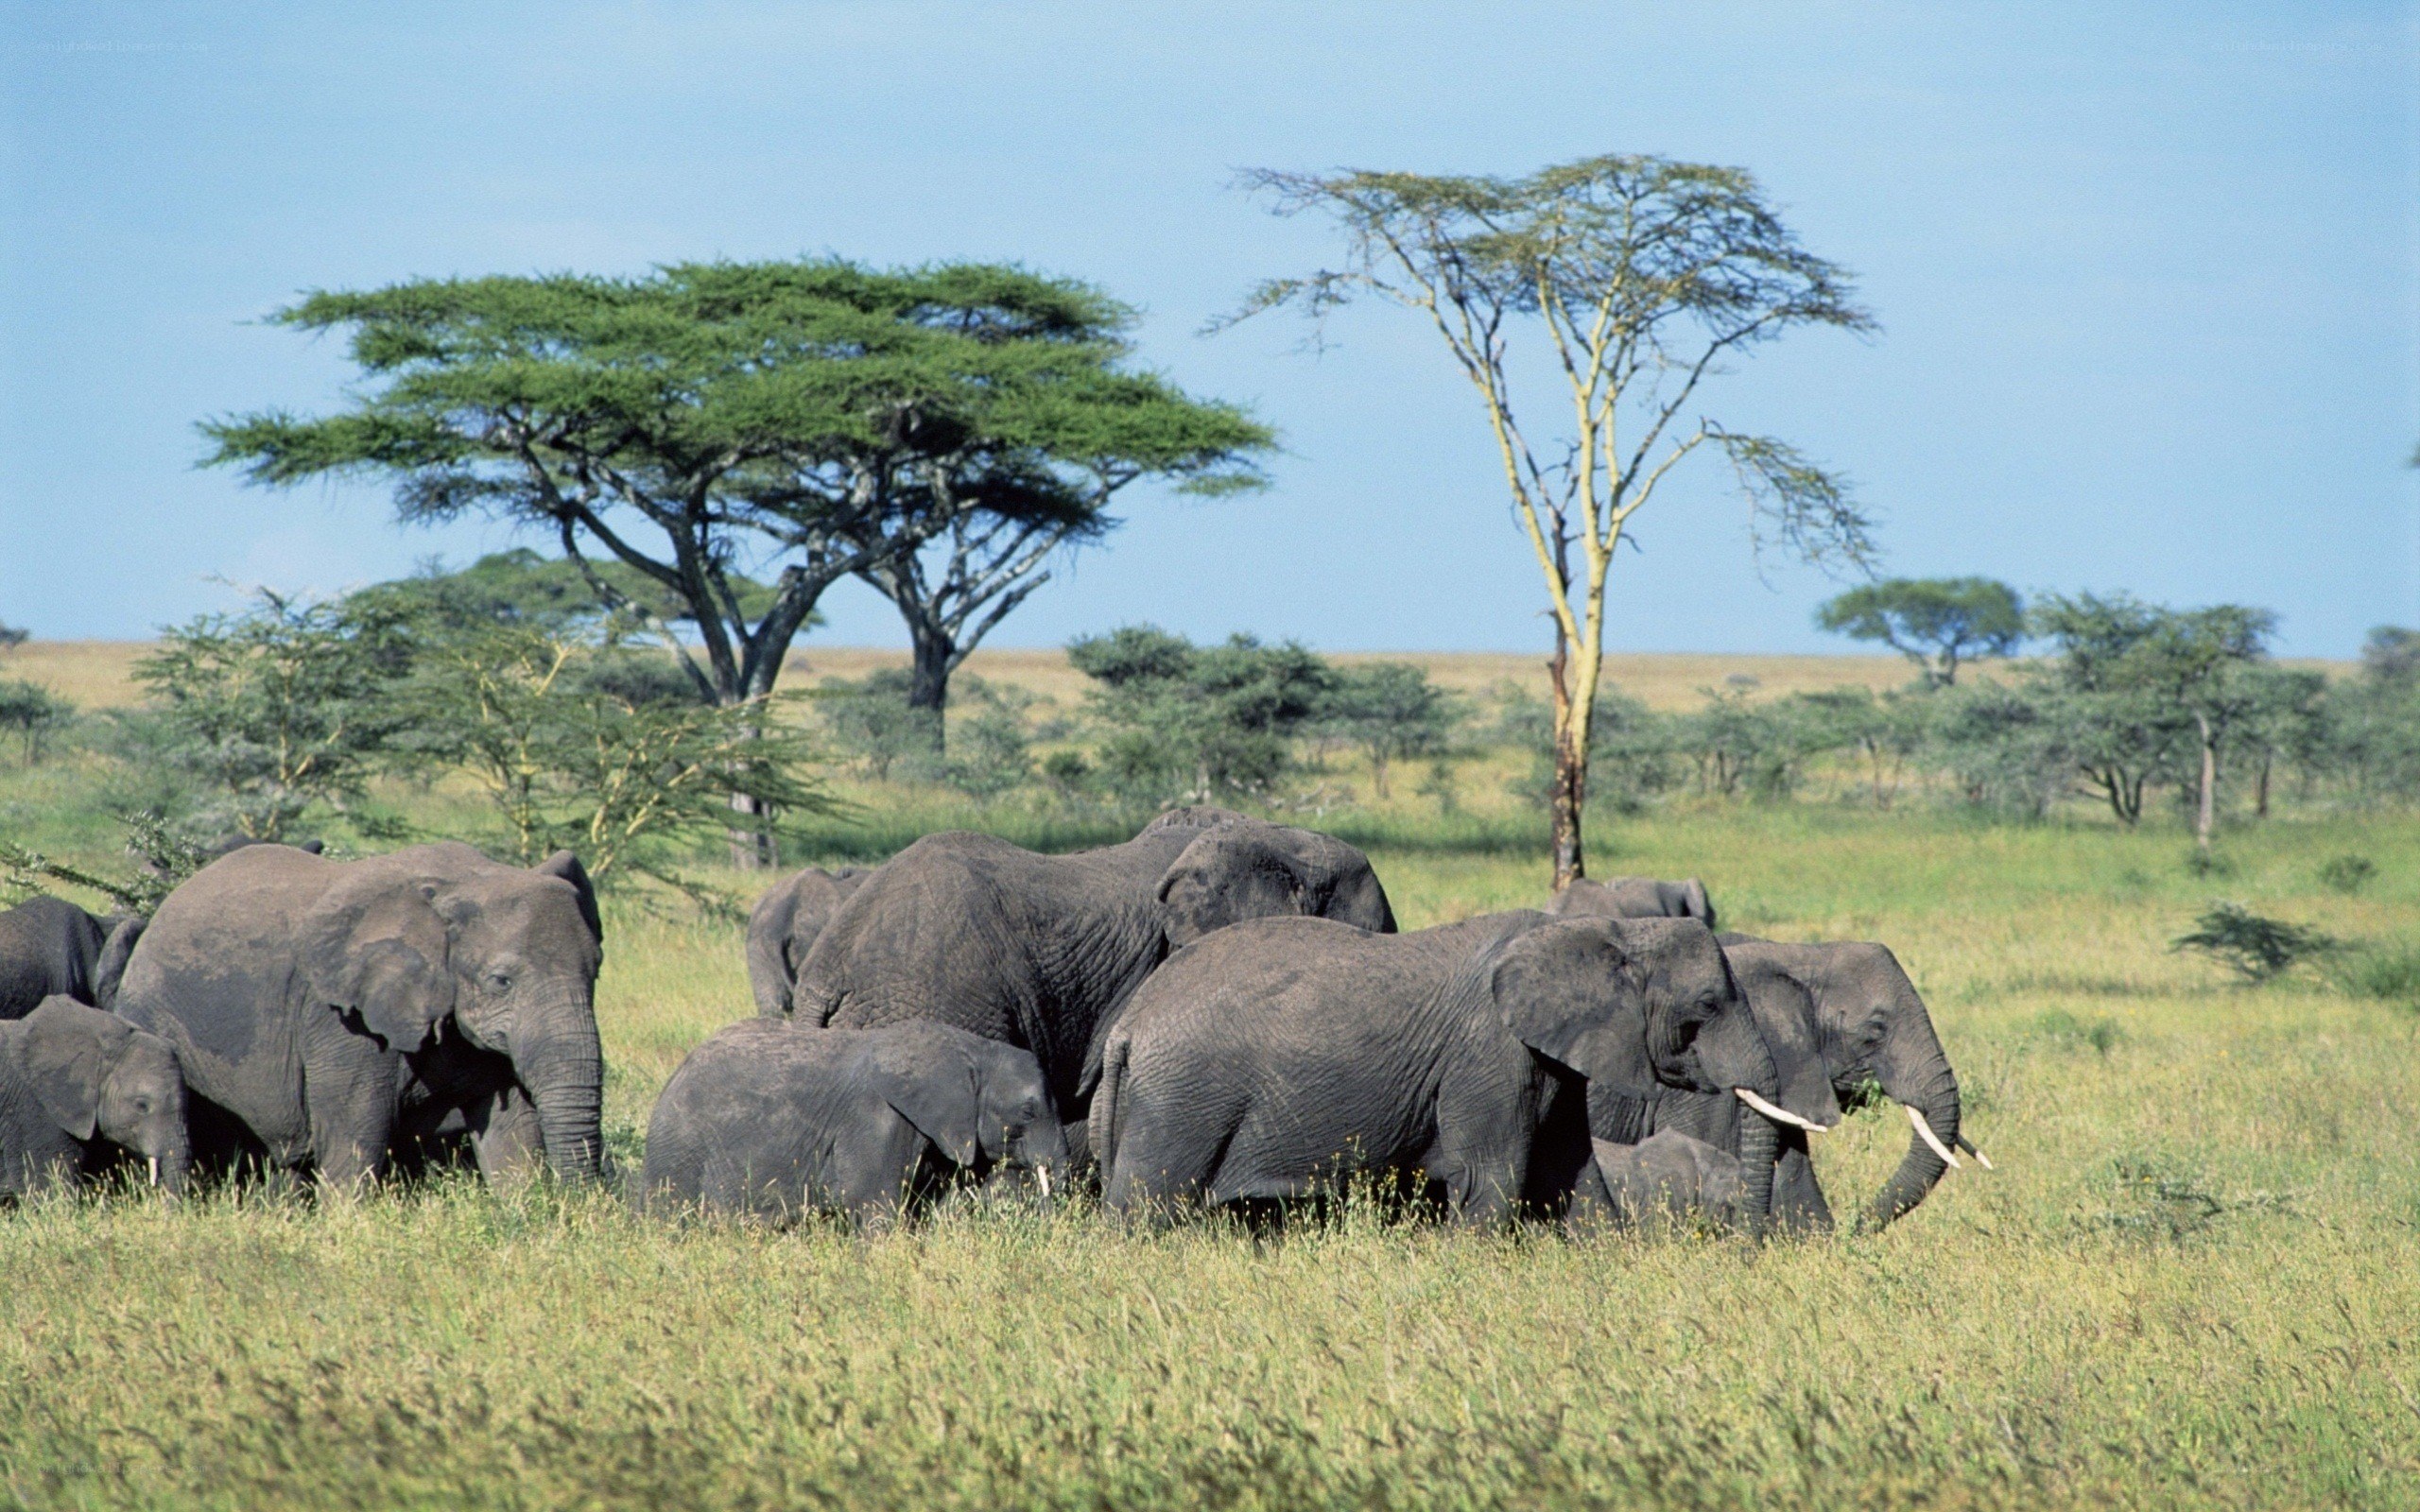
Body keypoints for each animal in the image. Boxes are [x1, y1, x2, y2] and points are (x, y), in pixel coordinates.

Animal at [114, 841, 607, 1188]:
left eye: (597, 971)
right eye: (501, 981)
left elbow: (513, 1136)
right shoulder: (340, 1019)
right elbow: (355, 1137)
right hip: (157, 1017)